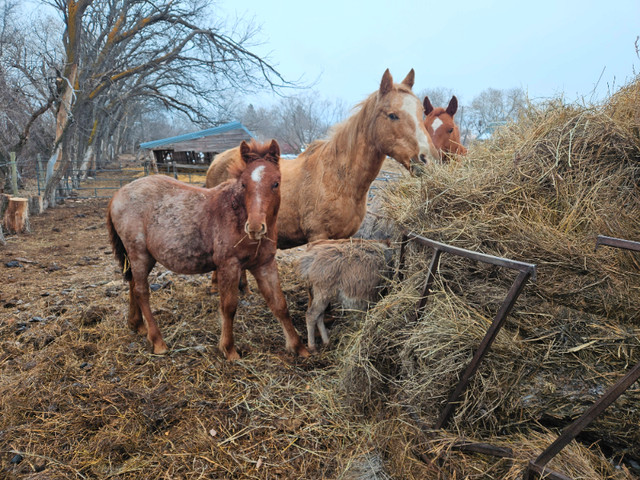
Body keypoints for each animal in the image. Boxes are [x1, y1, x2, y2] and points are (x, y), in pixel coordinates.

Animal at [107, 139, 310, 360]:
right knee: (141, 291)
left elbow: (280, 304)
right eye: (244, 184)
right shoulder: (229, 265)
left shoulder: (265, 264)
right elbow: (229, 307)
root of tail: (117, 195)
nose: (255, 227)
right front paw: (229, 349)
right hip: (139, 254)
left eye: (276, 183)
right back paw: (158, 341)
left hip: (143, 257)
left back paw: (137, 325)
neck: (237, 214)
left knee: (132, 284)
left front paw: (299, 347)